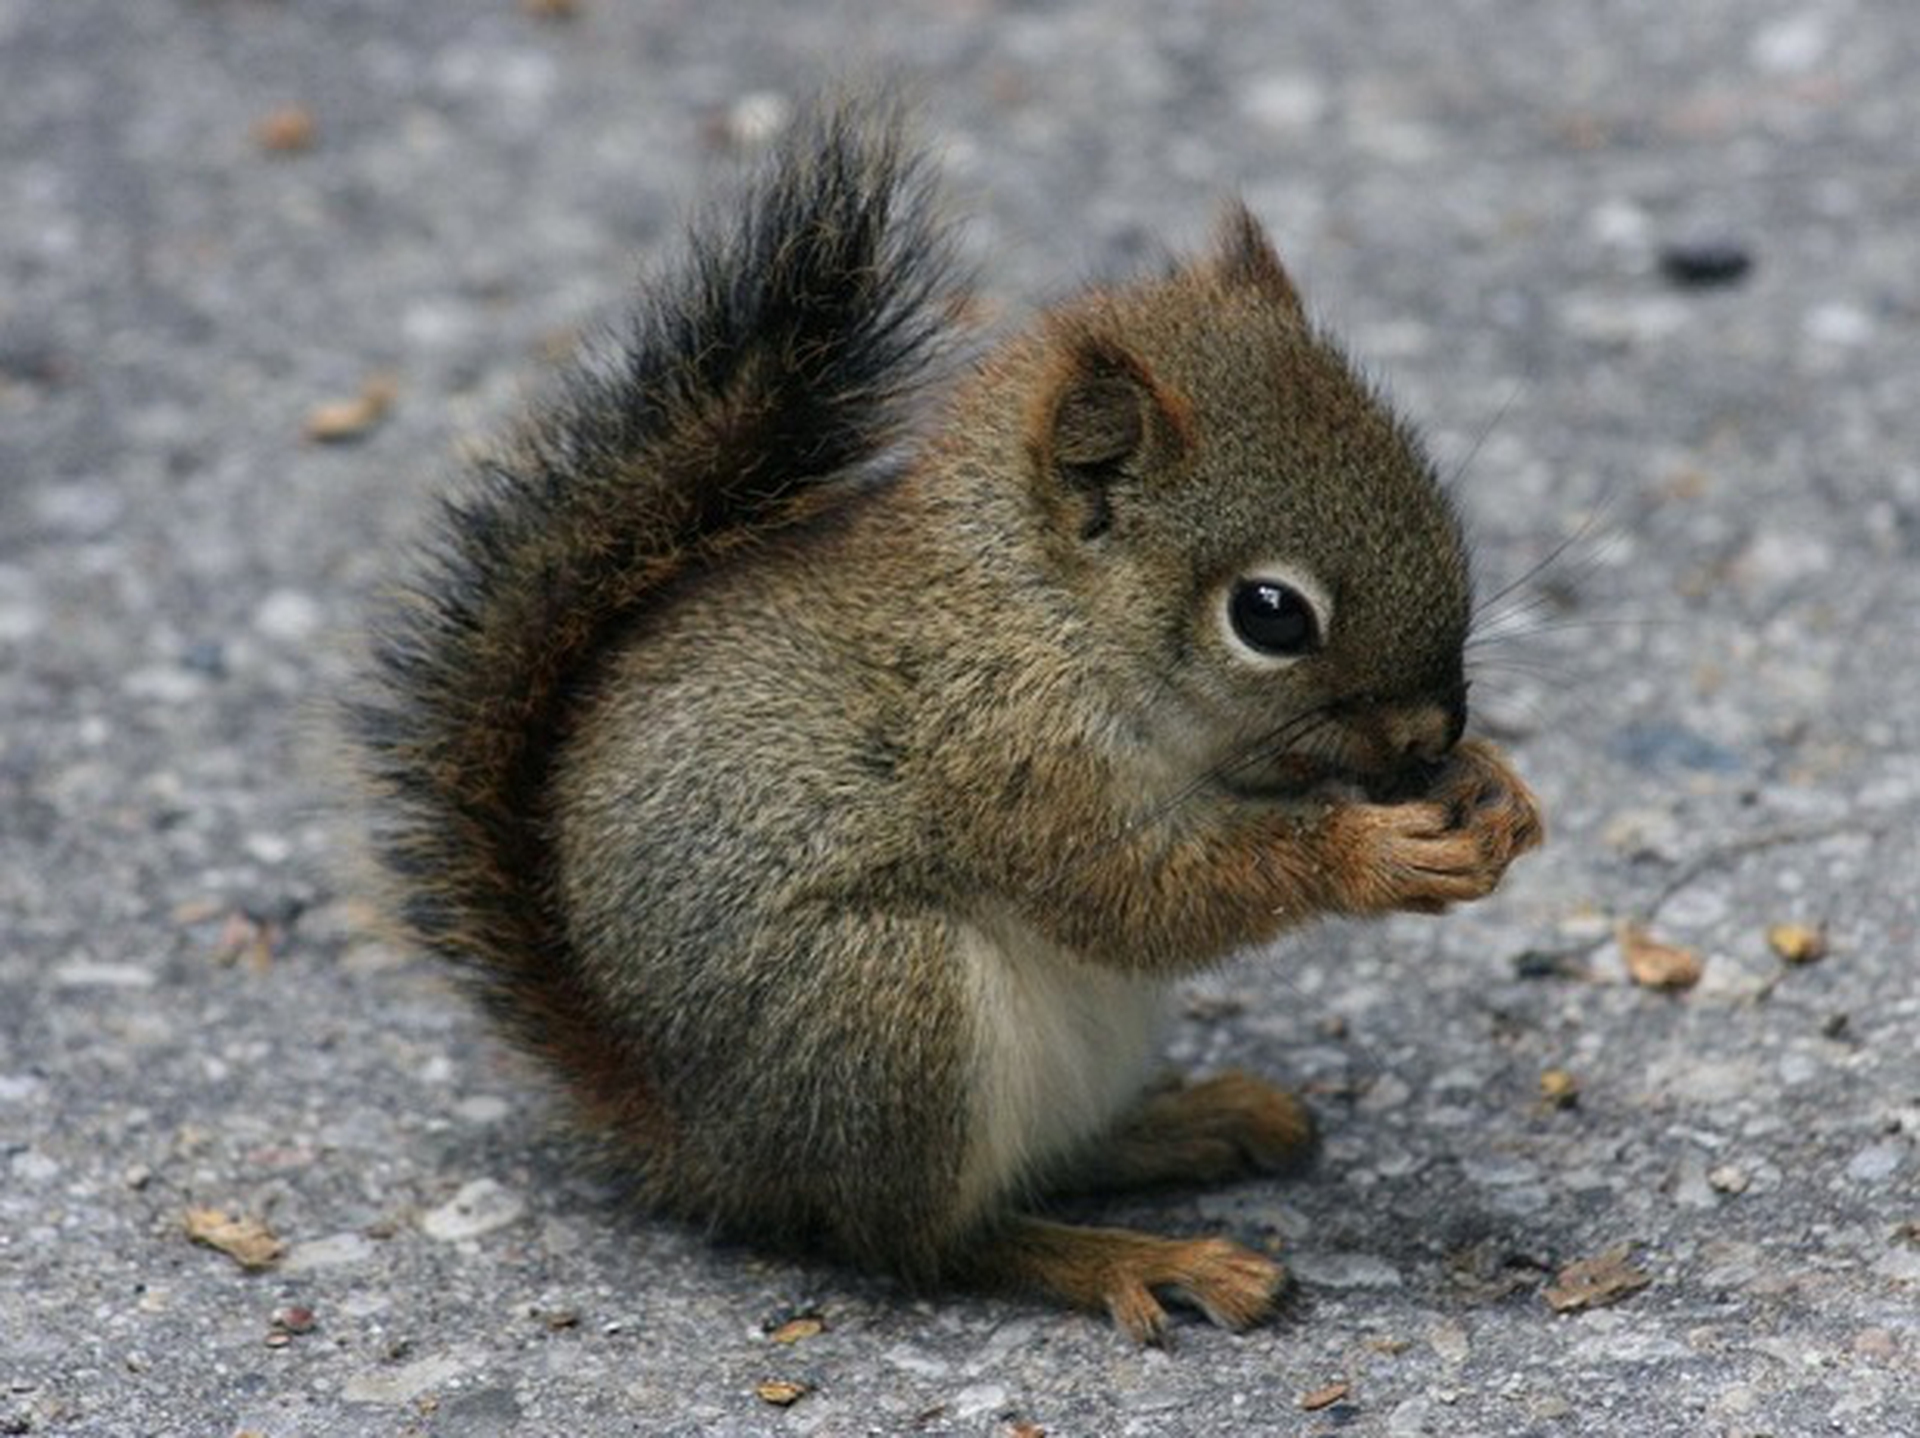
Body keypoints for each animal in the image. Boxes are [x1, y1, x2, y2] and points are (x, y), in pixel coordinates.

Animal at [350, 104, 1543, 1344]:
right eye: (1270, 614)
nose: (1432, 730)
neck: (1044, 609)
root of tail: (701, 1142)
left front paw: (1493, 790)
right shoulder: (1006, 752)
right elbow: (1133, 895)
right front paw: (1375, 852)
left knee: (1043, 1163)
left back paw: (1190, 1122)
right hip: (883, 1007)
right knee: (927, 1240)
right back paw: (1134, 1256)